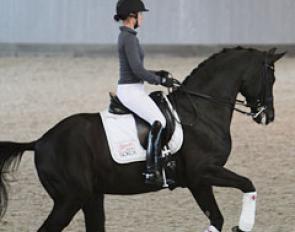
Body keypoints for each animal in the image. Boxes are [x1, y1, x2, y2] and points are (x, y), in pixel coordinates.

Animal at [0, 46, 286, 231]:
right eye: (270, 76)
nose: (268, 116)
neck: (202, 112)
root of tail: (40, 142)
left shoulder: (198, 181)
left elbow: (217, 218)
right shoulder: (202, 173)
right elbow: (247, 184)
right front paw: (245, 225)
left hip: (91, 197)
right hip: (69, 200)